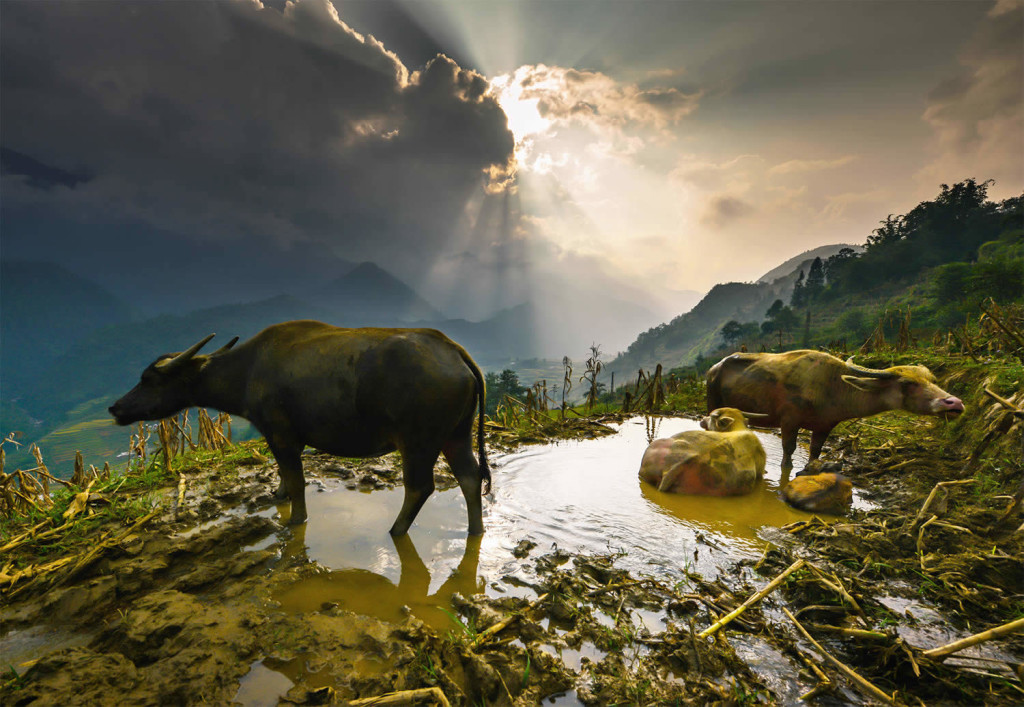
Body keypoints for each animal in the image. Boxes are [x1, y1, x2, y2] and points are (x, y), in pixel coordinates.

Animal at [112, 317, 491, 532]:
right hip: (457, 434)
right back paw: (475, 530)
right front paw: (277, 496)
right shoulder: (281, 437)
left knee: (419, 487)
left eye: (148, 379)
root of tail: (455, 352)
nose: (116, 407)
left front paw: (295, 519)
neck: (247, 371)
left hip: (417, 442)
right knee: (470, 478)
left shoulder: (281, 435)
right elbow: (283, 475)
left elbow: (296, 481)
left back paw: (396, 530)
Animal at [708, 350, 962, 471]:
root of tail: (715, 368)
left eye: (933, 380)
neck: (832, 387)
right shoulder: (789, 421)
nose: (955, 403)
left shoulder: (825, 426)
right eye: (907, 383)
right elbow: (788, 453)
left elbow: (815, 452)